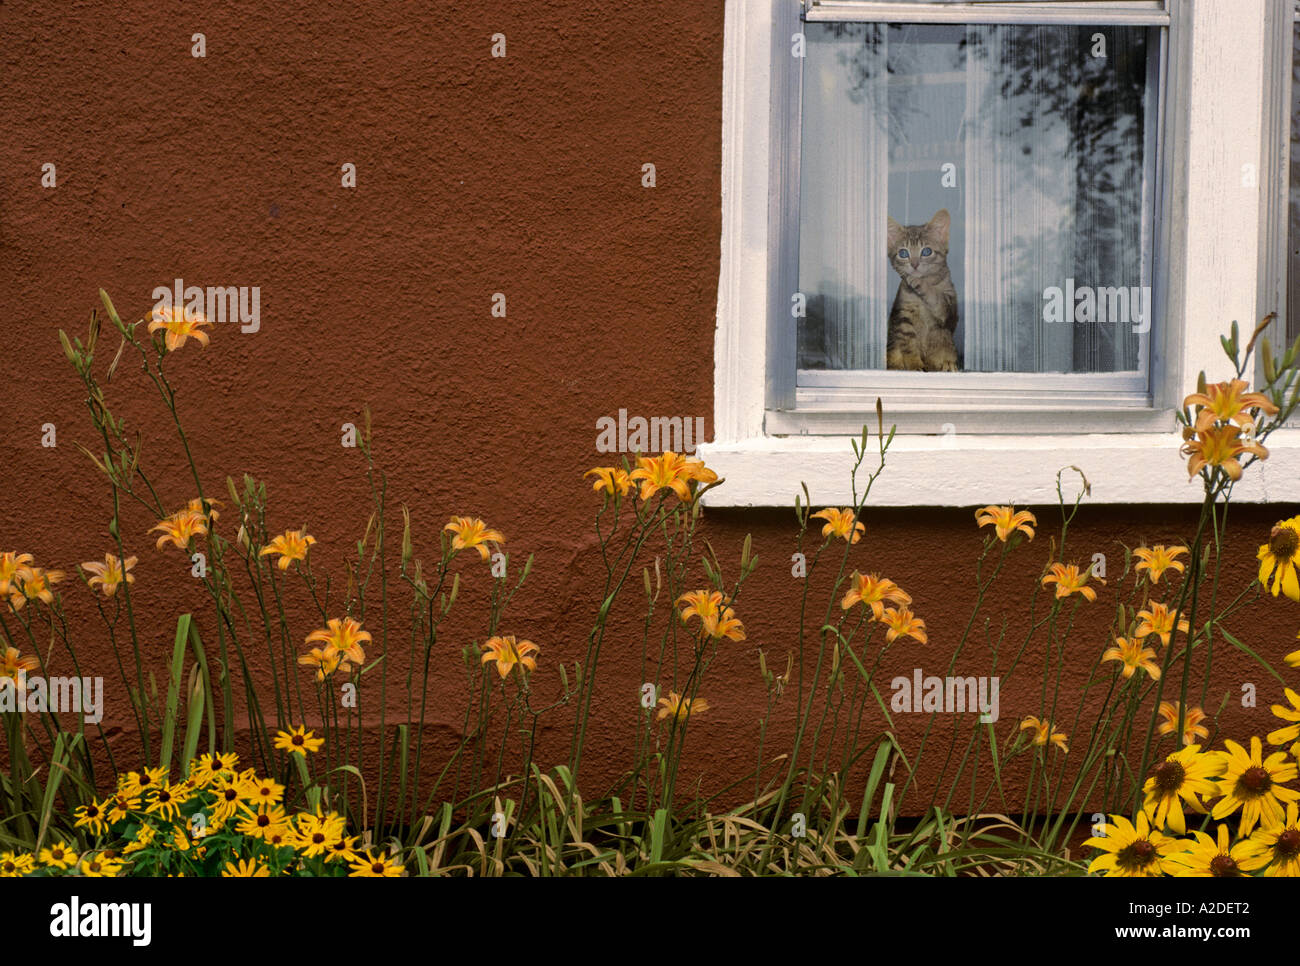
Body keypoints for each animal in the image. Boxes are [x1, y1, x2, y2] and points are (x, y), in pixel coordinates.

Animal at [889, 209, 961, 371]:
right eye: (903, 253)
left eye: (926, 251)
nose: (914, 264)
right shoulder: (904, 313)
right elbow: (909, 343)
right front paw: (914, 363)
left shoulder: (949, 310)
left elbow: (937, 298)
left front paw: (920, 283)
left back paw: (948, 363)